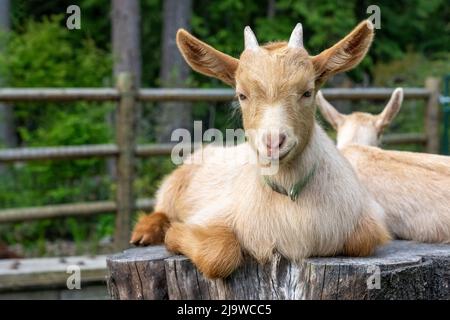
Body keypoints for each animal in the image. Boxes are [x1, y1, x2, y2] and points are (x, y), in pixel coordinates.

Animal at [130, 21, 390, 278]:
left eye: (307, 92)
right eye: (242, 95)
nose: (273, 142)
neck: (287, 195)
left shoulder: (368, 222)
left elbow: (363, 241)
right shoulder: (211, 215)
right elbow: (218, 253)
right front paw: (172, 234)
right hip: (175, 184)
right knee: (162, 207)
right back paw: (144, 232)